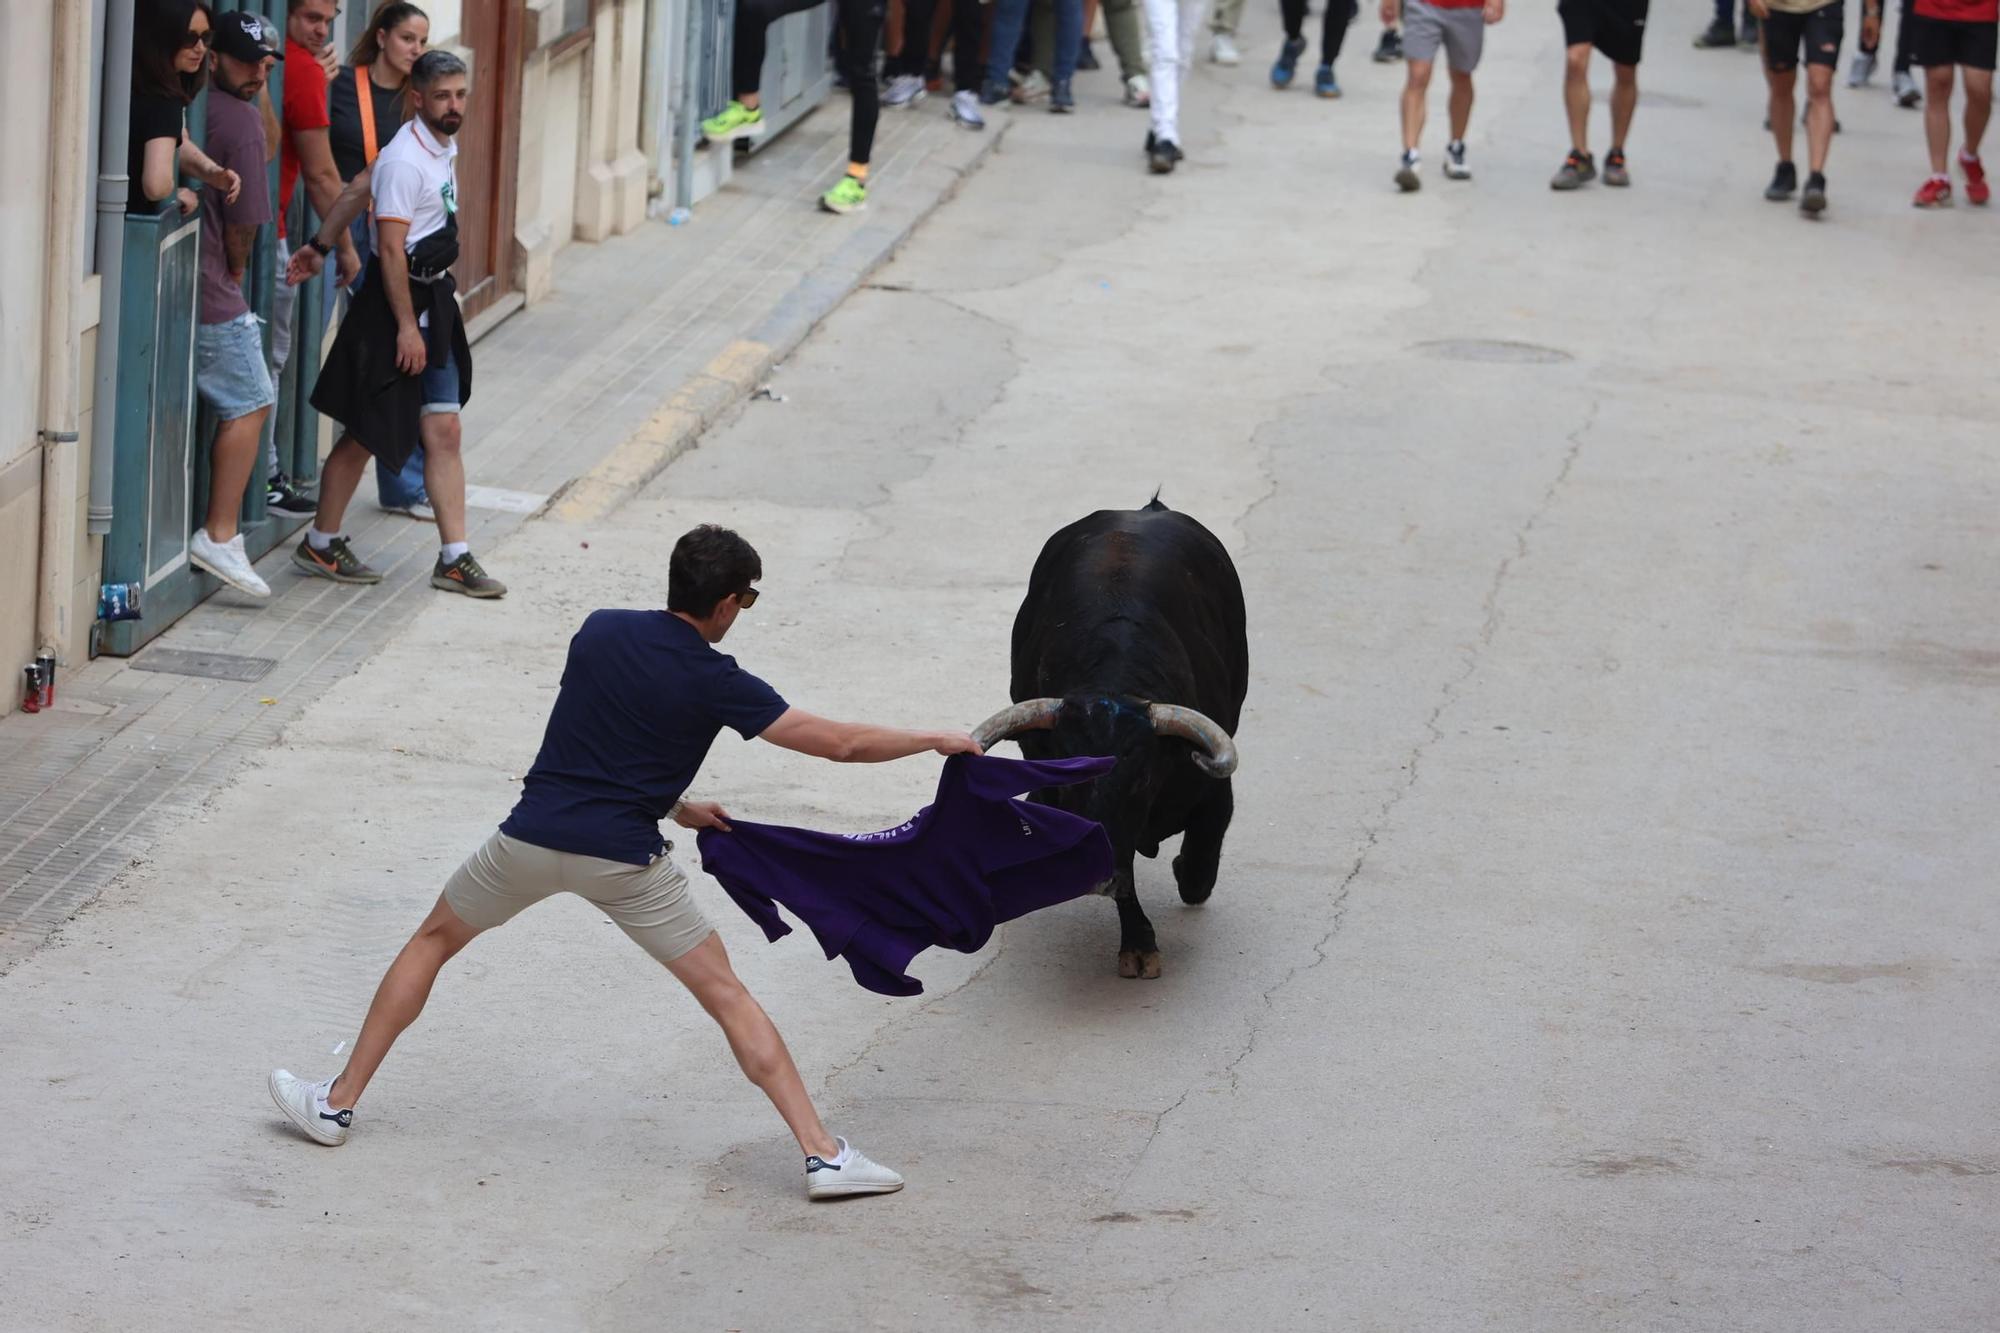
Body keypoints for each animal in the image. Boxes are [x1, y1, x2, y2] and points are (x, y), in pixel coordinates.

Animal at [972, 498, 1240, 976]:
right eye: (1065, 777)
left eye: (1143, 778)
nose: (1092, 878)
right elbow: (1125, 870)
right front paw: (1139, 944)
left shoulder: (1214, 792)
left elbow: (1198, 867)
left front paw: (1181, 874)